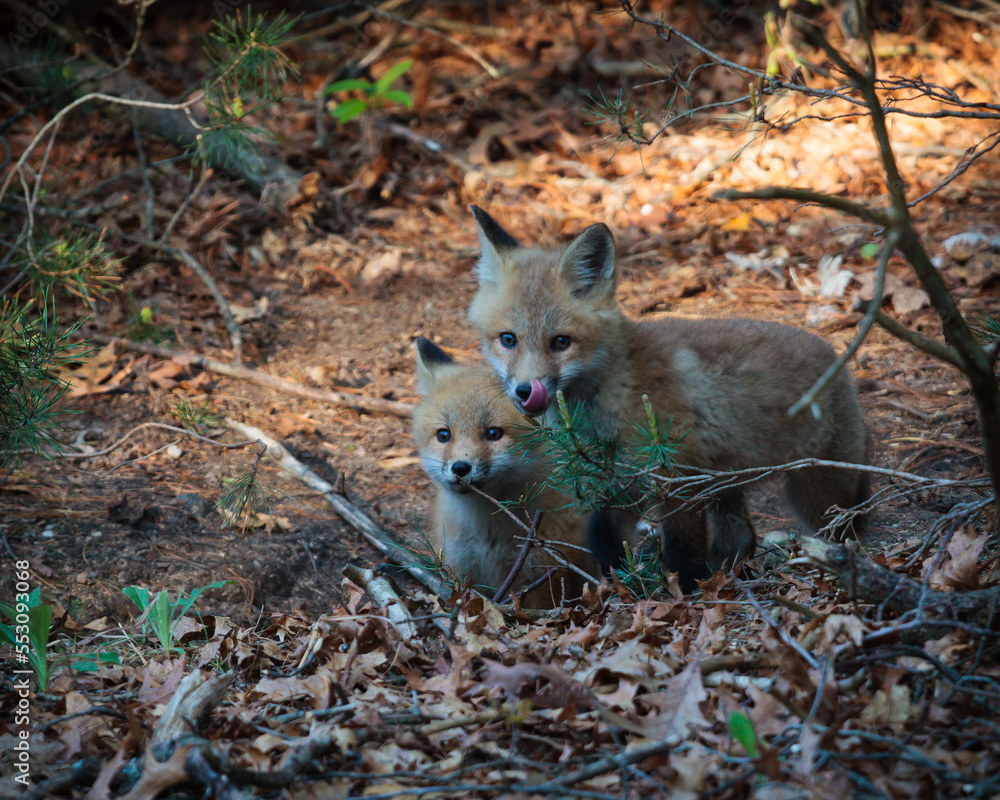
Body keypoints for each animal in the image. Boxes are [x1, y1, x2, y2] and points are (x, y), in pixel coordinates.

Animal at [412, 337, 598, 608]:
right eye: (444, 435)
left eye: (493, 433)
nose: (460, 468)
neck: (487, 536)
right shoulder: (462, 570)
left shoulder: (541, 575)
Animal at [466, 206, 869, 592]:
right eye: (508, 339)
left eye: (561, 342)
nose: (525, 390)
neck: (611, 390)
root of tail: (835, 357)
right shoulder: (616, 480)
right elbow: (602, 539)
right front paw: (620, 588)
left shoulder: (675, 475)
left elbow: (682, 555)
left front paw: (683, 596)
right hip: (723, 485)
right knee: (741, 539)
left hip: (817, 493)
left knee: (845, 536)